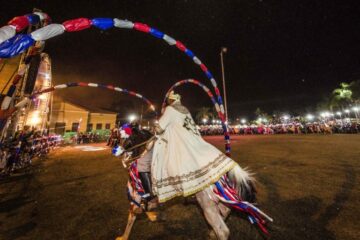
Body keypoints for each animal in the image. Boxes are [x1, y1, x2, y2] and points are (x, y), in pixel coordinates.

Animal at [114, 126, 272, 239]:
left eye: (126, 138)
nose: (117, 152)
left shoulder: (138, 196)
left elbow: (133, 214)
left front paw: (124, 236)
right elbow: (141, 211)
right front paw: (154, 216)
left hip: (206, 204)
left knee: (223, 230)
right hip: (216, 200)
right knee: (225, 212)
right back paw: (211, 232)